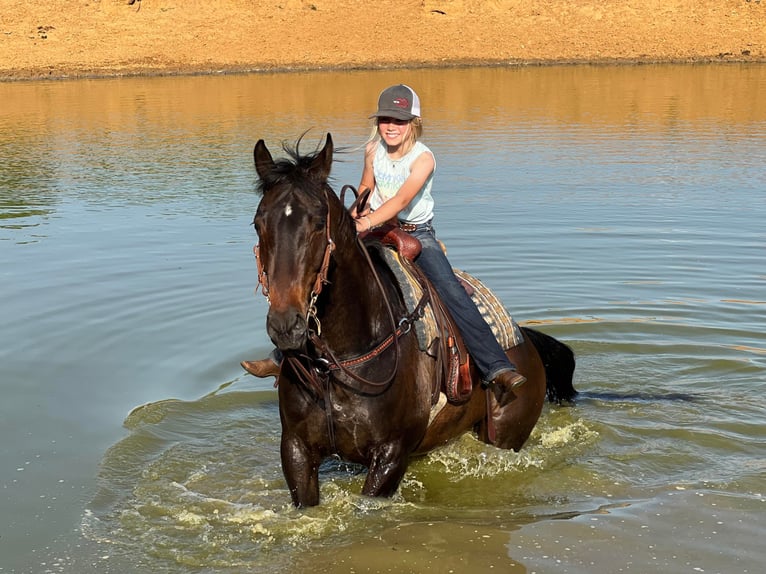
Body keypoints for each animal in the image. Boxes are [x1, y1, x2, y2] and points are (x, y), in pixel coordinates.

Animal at [252, 134, 576, 508]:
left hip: (507, 434)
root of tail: (525, 341)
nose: (285, 325)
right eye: (258, 223)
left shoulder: (391, 455)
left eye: (319, 223)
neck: (338, 363)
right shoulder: (296, 450)